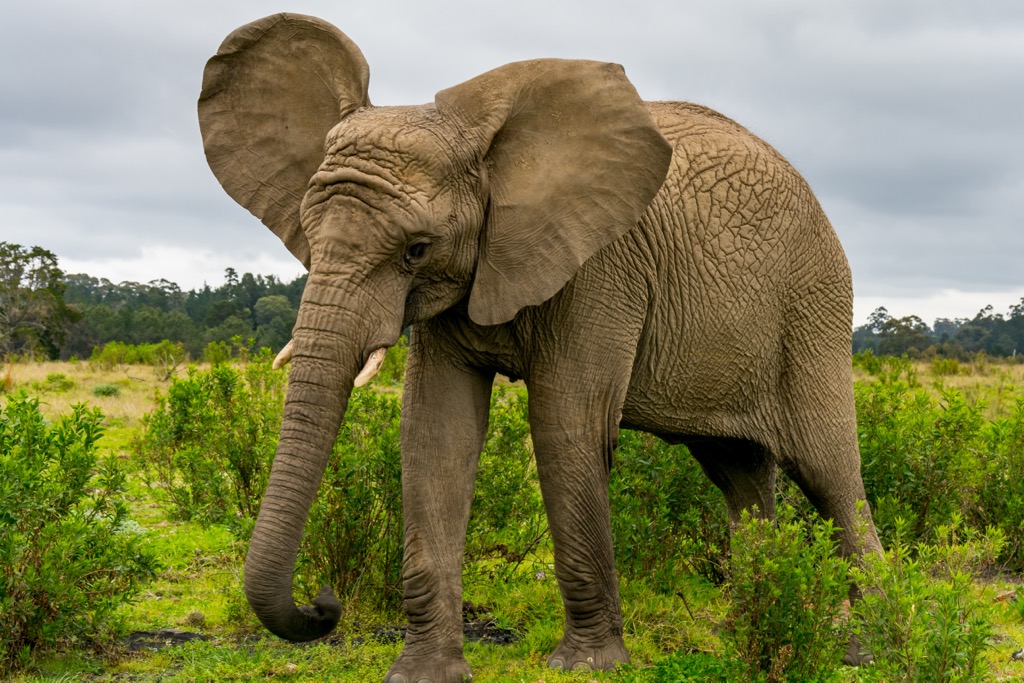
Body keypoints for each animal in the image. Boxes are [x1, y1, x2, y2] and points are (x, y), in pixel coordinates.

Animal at [198, 13, 882, 682]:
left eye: (416, 249)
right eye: (307, 233)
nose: (324, 601)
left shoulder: (602, 266)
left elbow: (566, 425)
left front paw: (587, 665)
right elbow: (435, 432)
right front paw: (422, 673)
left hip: (813, 309)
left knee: (829, 476)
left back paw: (862, 651)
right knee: (738, 472)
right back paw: (750, 633)